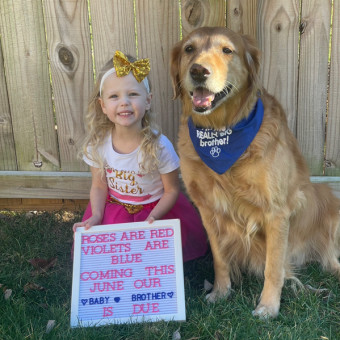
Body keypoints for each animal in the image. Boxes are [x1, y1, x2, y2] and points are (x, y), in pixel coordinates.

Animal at [170, 27, 340, 318]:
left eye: (227, 50)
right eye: (189, 49)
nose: (198, 71)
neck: (222, 132)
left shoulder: (276, 211)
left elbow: (273, 266)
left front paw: (269, 307)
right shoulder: (208, 208)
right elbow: (220, 259)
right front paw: (221, 291)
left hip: (328, 197)